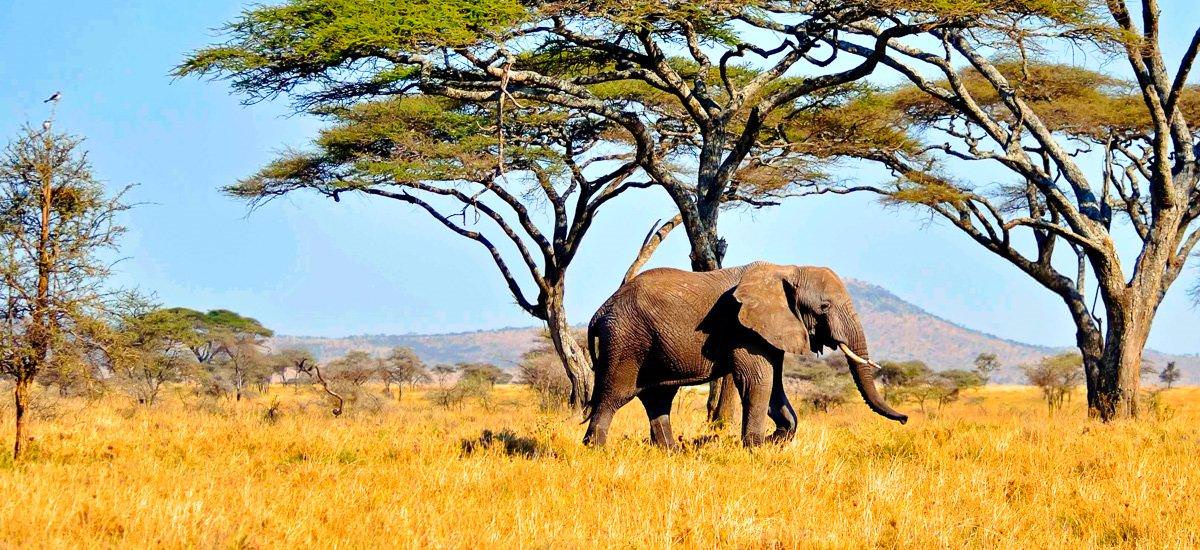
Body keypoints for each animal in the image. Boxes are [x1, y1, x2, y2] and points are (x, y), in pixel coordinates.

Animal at [583, 262, 908, 448]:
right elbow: (757, 381)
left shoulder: (771, 329)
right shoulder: (743, 328)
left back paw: (670, 452)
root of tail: (599, 312)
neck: (787, 269)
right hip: (626, 339)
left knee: (658, 398)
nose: (905, 420)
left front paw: (776, 440)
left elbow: (775, 384)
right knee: (614, 395)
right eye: (824, 307)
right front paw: (754, 447)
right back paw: (596, 450)